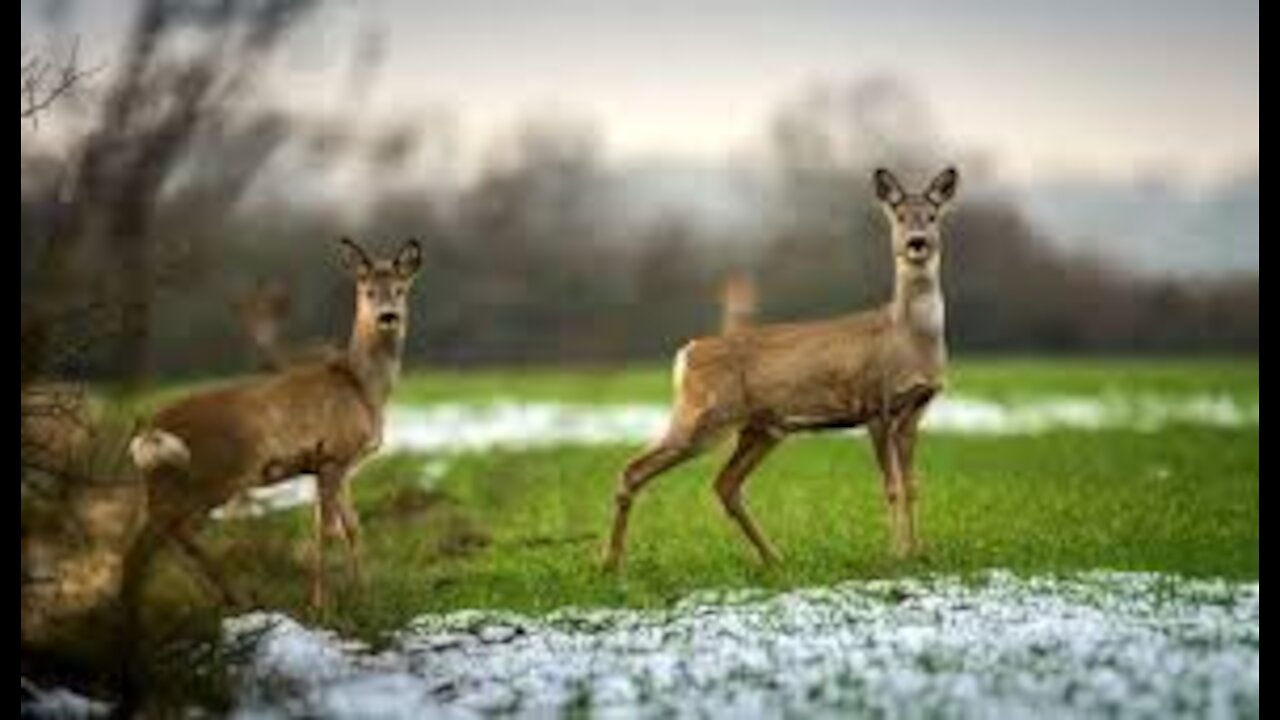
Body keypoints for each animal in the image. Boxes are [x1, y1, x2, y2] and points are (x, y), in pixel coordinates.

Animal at [121, 235, 419, 604]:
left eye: (400, 289)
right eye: (368, 291)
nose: (388, 316)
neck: (362, 387)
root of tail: (149, 432)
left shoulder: (338, 464)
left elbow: (352, 527)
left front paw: (364, 595)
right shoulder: (332, 455)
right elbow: (329, 531)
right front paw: (323, 604)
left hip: (170, 486)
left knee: (153, 543)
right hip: (211, 477)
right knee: (159, 541)